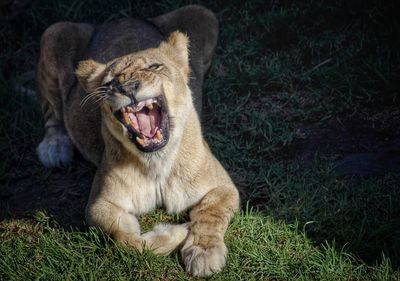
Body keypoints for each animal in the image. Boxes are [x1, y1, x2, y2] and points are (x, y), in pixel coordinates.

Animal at [36, 5, 239, 276]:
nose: (129, 87)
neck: (157, 162)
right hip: (55, 32)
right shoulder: (101, 204)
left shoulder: (222, 187)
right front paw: (177, 232)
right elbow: (127, 240)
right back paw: (54, 148)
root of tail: (122, 18)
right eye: (110, 82)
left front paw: (203, 252)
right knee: (52, 113)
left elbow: (210, 215)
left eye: (154, 66)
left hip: (202, 13)